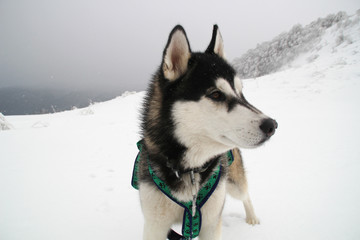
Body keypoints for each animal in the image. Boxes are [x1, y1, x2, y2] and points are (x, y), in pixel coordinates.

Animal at [136, 25, 278, 239]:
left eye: (241, 91)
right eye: (216, 94)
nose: (272, 125)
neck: (190, 170)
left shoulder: (210, 222)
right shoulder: (155, 225)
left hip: (232, 182)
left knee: (245, 194)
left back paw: (252, 218)